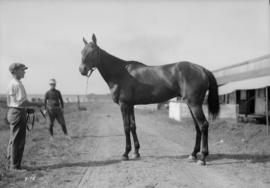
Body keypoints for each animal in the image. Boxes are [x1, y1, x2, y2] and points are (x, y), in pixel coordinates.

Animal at [78, 34, 219, 166]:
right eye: (82, 51)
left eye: (93, 51)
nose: (82, 69)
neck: (120, 73)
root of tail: (203, 69)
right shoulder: (130, 105)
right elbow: (133, 126)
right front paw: (136, 152)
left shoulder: (124, 105)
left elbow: (126, 127)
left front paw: (125, 153)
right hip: (191, 104)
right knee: (197, 127)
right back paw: (193, 154)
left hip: (194, 104)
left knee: (203, 125)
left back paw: (202, 158)